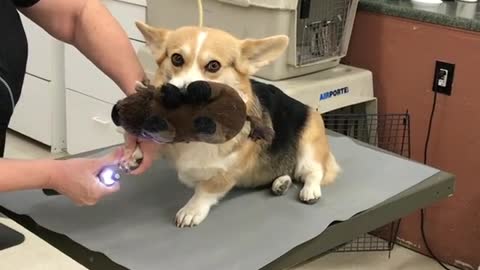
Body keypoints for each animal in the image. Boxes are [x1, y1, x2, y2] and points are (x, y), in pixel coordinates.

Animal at [118, 21, 340, 228]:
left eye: (213, 66)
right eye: (177, 58)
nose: (180, 95)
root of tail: (308, 108)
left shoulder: (225, 174)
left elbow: (205, 190)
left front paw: (191, 210)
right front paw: (135, 153)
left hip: (309, 147)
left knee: (314, 171)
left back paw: (310, 190)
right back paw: (281, 183)